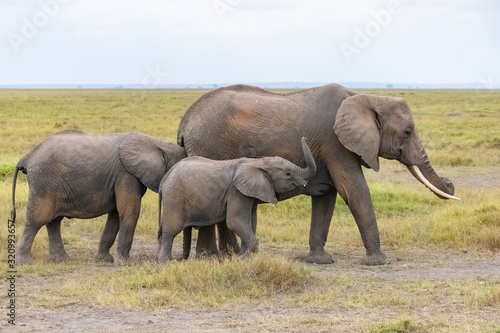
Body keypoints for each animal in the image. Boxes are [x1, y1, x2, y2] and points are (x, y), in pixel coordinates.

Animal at [12, 129, 188, 262]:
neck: (159, 144)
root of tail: (27, 157)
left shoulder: (120, 177)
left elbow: (116, 215)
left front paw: (104, 260)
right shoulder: (126, 174)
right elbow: (129, 211)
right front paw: (126, 262)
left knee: (53, 221)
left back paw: (62, 260)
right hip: (44, 183)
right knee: (37, 220)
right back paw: (25, 262)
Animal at [156, 137, 316, 262]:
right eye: (288, 174)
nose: (304, 137)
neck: (258, 162)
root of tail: (164, 181)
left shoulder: (249, 193)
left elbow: (251, 222)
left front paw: (244, 257)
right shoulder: (237, 192)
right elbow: (235, 221)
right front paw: (243, 259)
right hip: (174, 197)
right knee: (171, 229)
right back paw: (167, 263)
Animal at [177, 83, 460, 264]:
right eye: (407, 132)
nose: (450, 183)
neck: (364, 97)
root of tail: (185, 121)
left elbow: (327, 197)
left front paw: (319, 261)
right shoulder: (335, 142)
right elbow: (354, 190)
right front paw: (379, 262)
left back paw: (227, 256)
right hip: (211, 147)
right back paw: (216, 258)